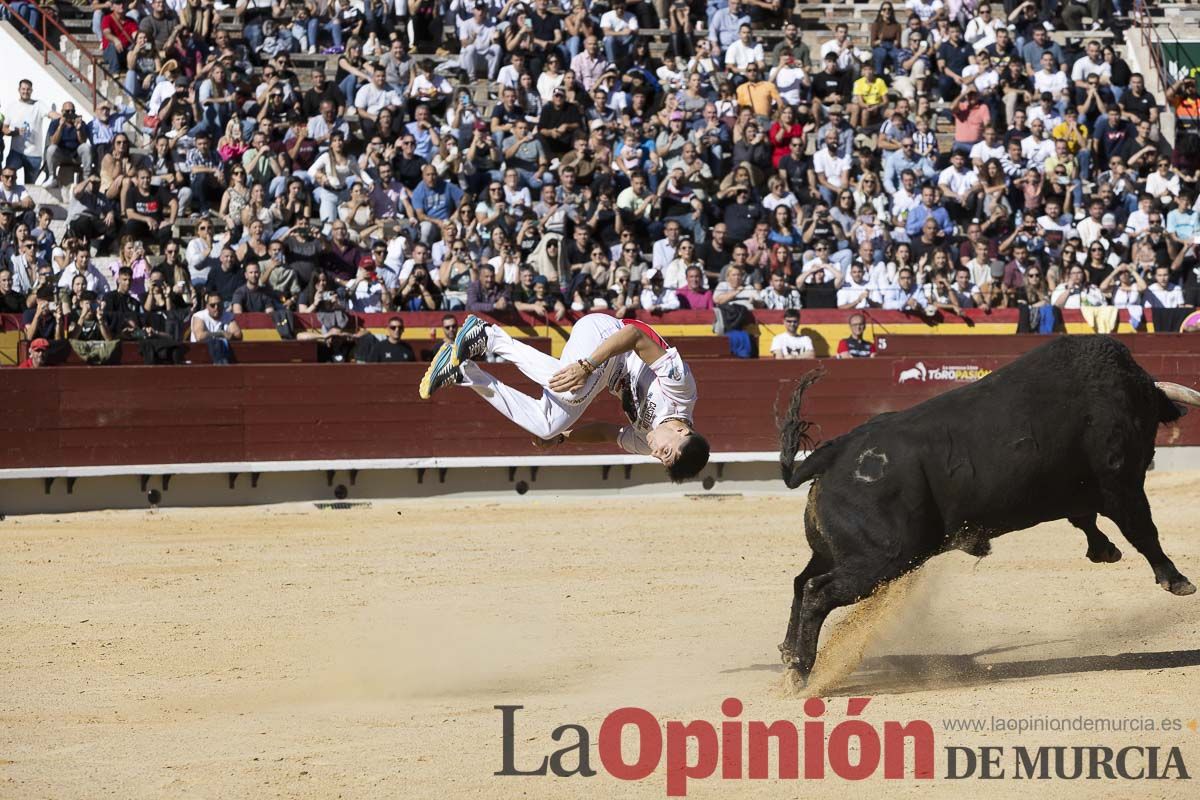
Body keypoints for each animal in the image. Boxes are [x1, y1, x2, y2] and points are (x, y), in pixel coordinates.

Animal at [782, 335, 1195, 681]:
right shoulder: (1121, 484)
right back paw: (802, 672)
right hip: (882, 558)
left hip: (838, 552)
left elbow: (1085, 520)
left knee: (802, 583)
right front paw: (1177, 580)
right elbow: (1143, 531)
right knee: (818, 591)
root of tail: (832, 454)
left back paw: (788, 656)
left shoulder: (1081, 491)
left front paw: (1105, 551)